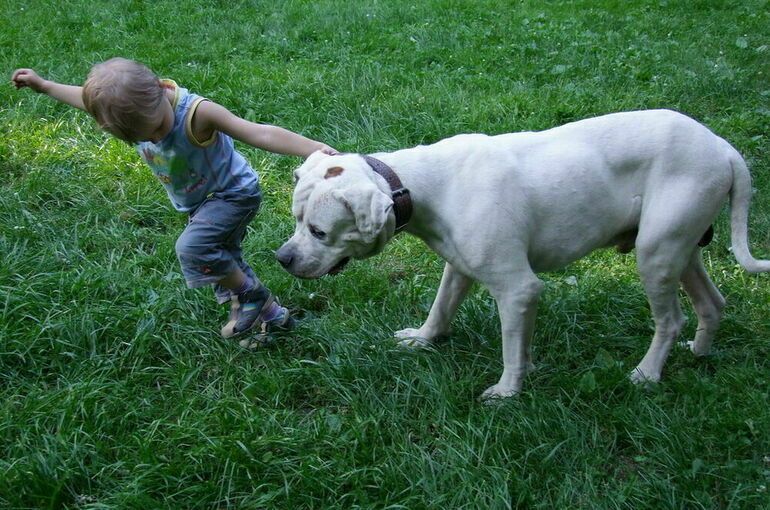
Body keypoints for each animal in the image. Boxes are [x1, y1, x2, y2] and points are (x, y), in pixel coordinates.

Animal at [278, 109, 768, 400]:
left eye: (318, 231)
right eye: (296, 219)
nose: (282, 257)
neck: (421, 187)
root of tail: (724, 148)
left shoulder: (517, 291)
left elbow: (513, 349)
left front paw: (508, 391)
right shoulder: (458, 269)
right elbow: (441, 308)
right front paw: (423, 339)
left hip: (656, 256)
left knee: (671, 319)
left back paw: (647, 373)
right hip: (680, 251)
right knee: (712, 303)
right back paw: (699, 353)